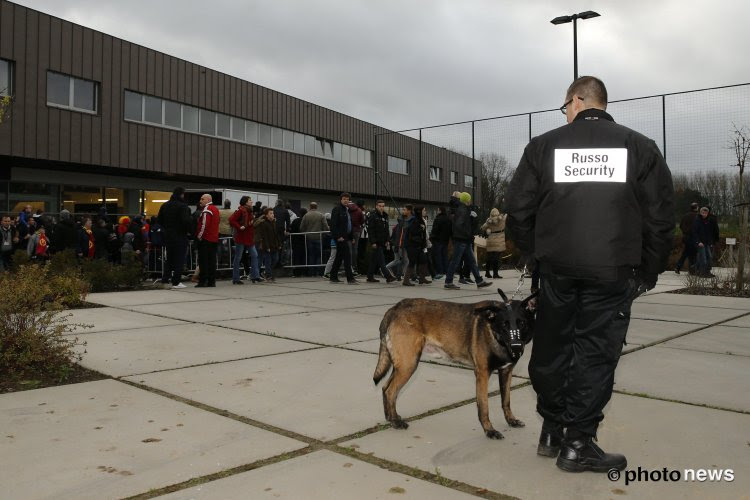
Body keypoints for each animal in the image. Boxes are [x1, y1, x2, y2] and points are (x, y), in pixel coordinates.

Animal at [374, 290, 536, 438]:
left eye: (522, 323)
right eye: (504, 325)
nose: (516, 347)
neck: (494, 331)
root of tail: (395, 308)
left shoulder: (506, 372)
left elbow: (506, 401)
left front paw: (511, 420)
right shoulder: (482, 374)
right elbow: (484, 406)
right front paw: (489, 430)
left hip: (402, 366)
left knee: (385, 387)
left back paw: (391, 418)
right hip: (408, 364)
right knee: (390, 391)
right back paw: (396, 422)